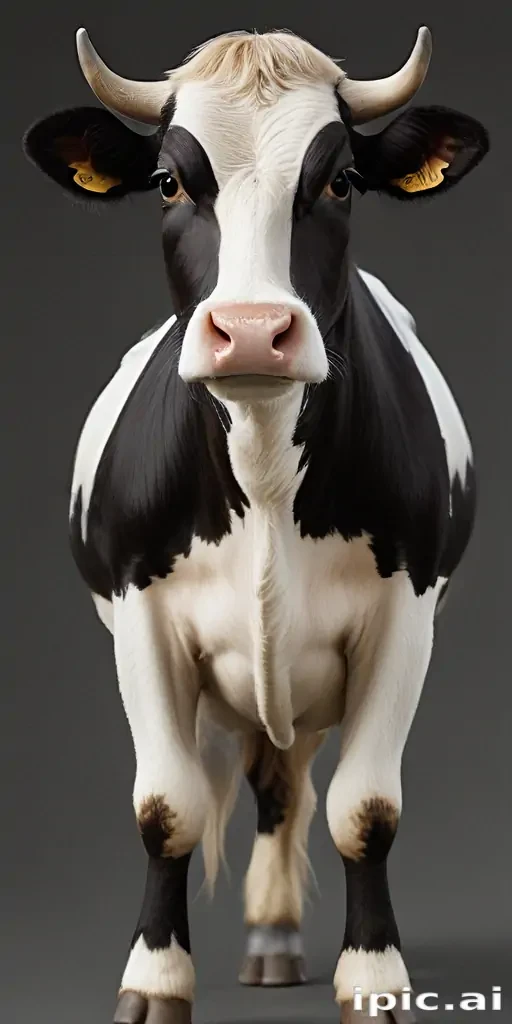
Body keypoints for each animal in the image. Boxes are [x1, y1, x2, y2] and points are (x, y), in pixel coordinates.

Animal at [23, 25, 489, 1024]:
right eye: (168, 181)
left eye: (341, 179)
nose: (249, 330)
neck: (268, 471)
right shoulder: (141, 614)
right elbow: (165, 807)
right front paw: (153, 979)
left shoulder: (405, 614)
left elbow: (366, 809)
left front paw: (374, 976)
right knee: (267, 780)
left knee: (286, 786)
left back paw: (276, 938)